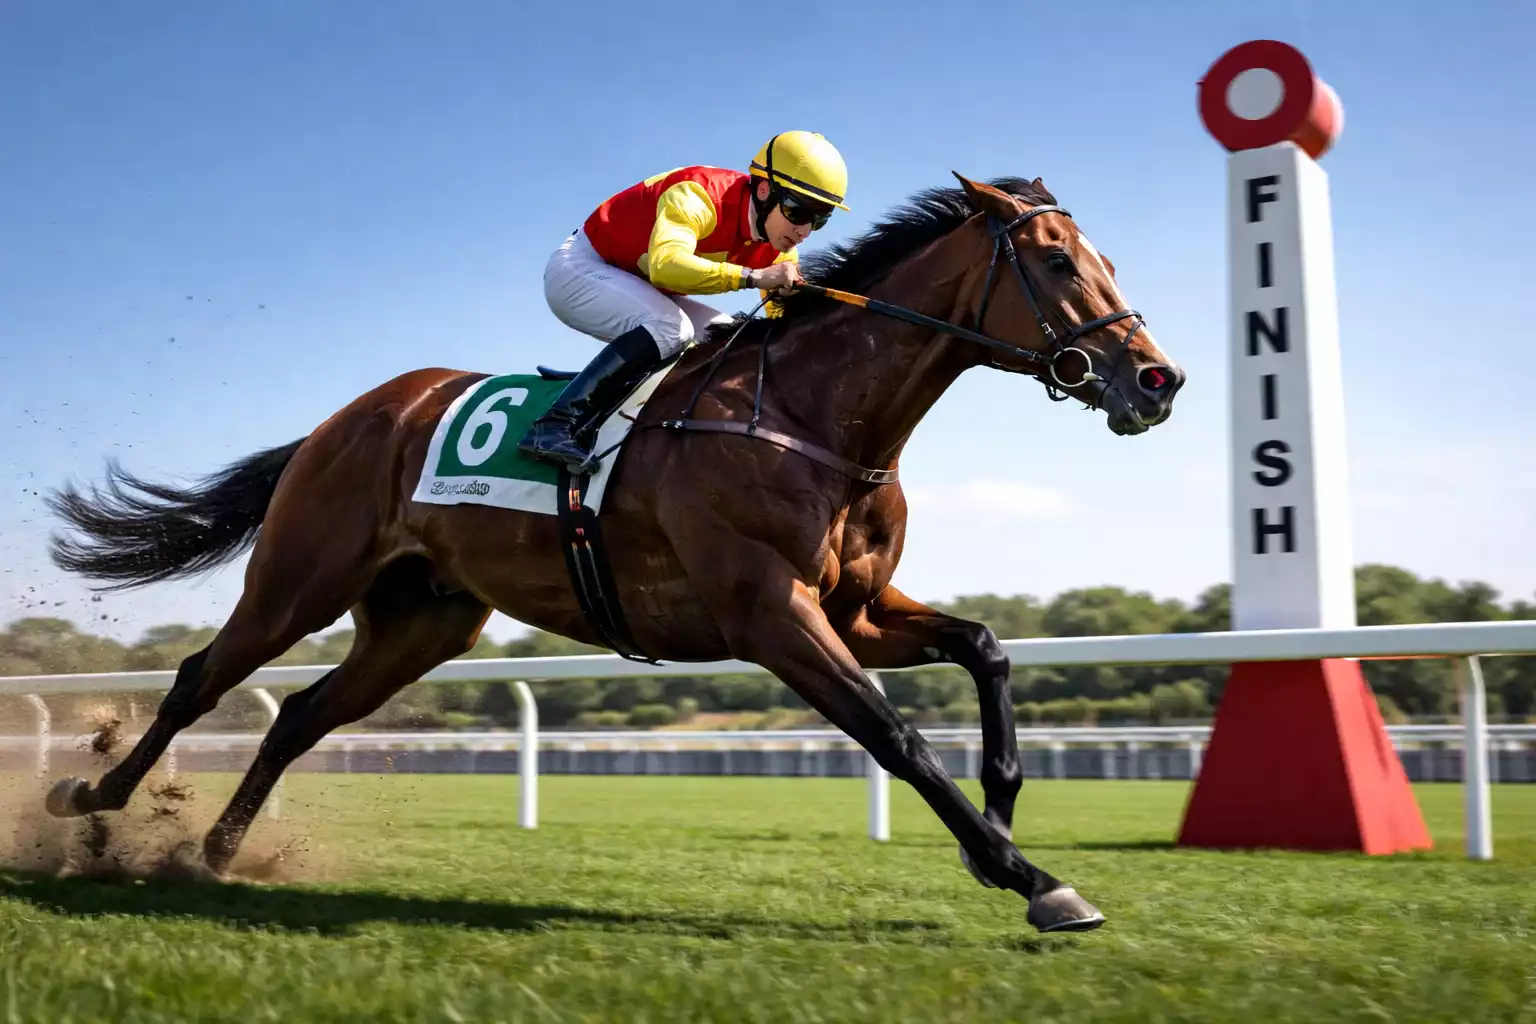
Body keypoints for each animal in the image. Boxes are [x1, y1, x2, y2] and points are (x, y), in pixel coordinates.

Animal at [40, 174, 1184, 933]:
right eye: (1055, 263)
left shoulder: (855, 607)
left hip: (423, 621)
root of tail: (349, 416)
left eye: (1108, 262)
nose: (1157, 379)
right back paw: (89, 805)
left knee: (303, 716)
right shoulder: (770, 613)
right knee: (200, 677)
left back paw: (218, 850)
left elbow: (985, 647)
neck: (811, 416)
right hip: (301, 578)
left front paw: (1004, 814)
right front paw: (1027, 875)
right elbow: (895, 735)